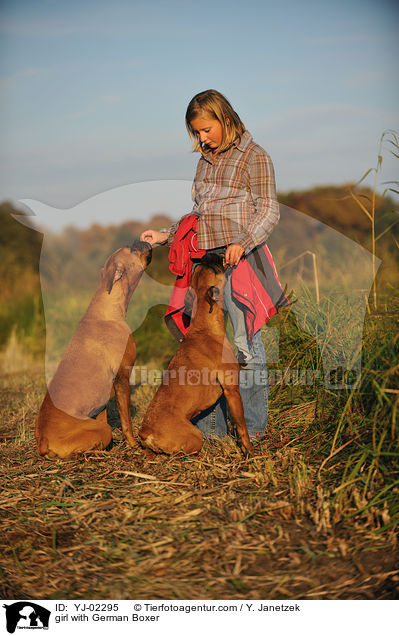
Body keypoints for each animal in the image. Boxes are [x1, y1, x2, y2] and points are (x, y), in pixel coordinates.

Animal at [36, 241, 152, 460]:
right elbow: (126, 421)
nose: (142, 240)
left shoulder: (103, 397)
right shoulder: (122, 378)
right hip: (99, 430)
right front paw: (132, 445)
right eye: (131, 249)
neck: (108, 306)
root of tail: (43, 441)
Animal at [140, 253, 253, 458]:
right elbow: (242, 427)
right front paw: (249, 452)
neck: (204, 327)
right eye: (214, 268)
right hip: (194, 436)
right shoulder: (232, 390)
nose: (208, 254)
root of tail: (146, 432)